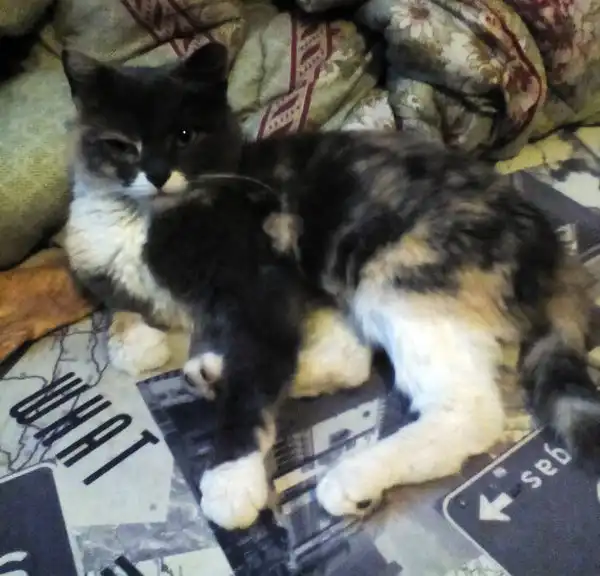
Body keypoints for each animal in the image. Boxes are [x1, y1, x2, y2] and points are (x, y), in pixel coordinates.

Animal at [62, 43, 600, 532]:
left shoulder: (261, 287)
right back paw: (212, 374)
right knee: (345, 363)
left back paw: (352, 476)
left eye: (184, 135)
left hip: (396, 275)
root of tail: (550, 243)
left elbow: (254, 377)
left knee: (467, 408)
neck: (144, 221)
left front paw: (231, 481)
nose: (155, 175)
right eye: (121, 144)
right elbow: (134, 325)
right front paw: (143, 340)